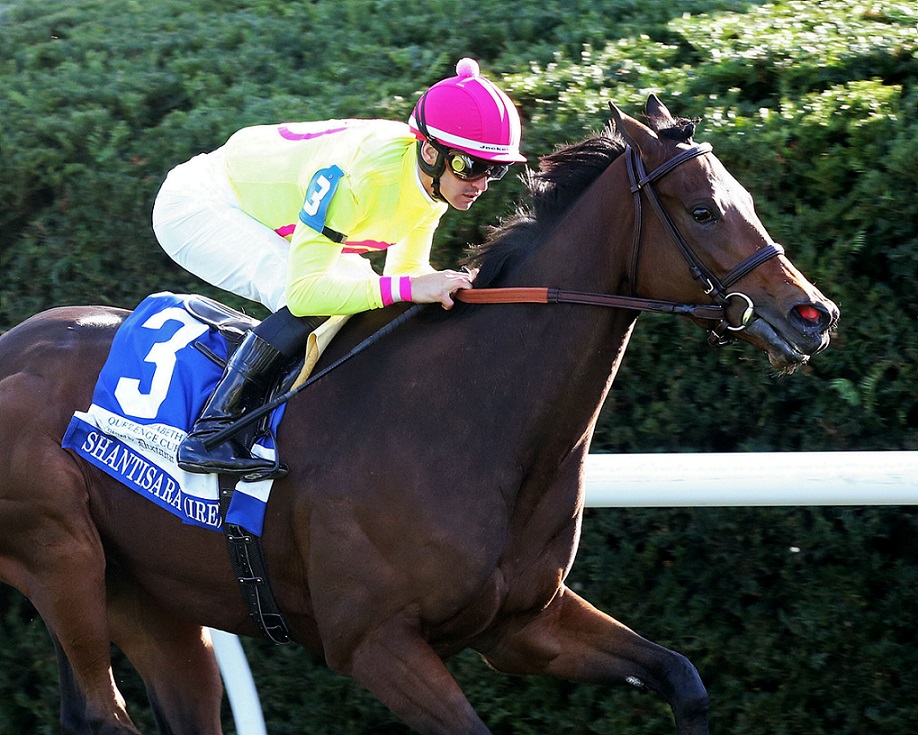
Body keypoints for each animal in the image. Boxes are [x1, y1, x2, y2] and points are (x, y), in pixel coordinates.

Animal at [0, 95, 838, 735]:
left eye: (747, 202)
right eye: (703, 210)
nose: (813, 314)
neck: (469, 421)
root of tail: (15, 342)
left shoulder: (524, 622)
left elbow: (682, 675)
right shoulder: (375, 641)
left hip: (154, 598)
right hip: (62, 555)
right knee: (101, 710)